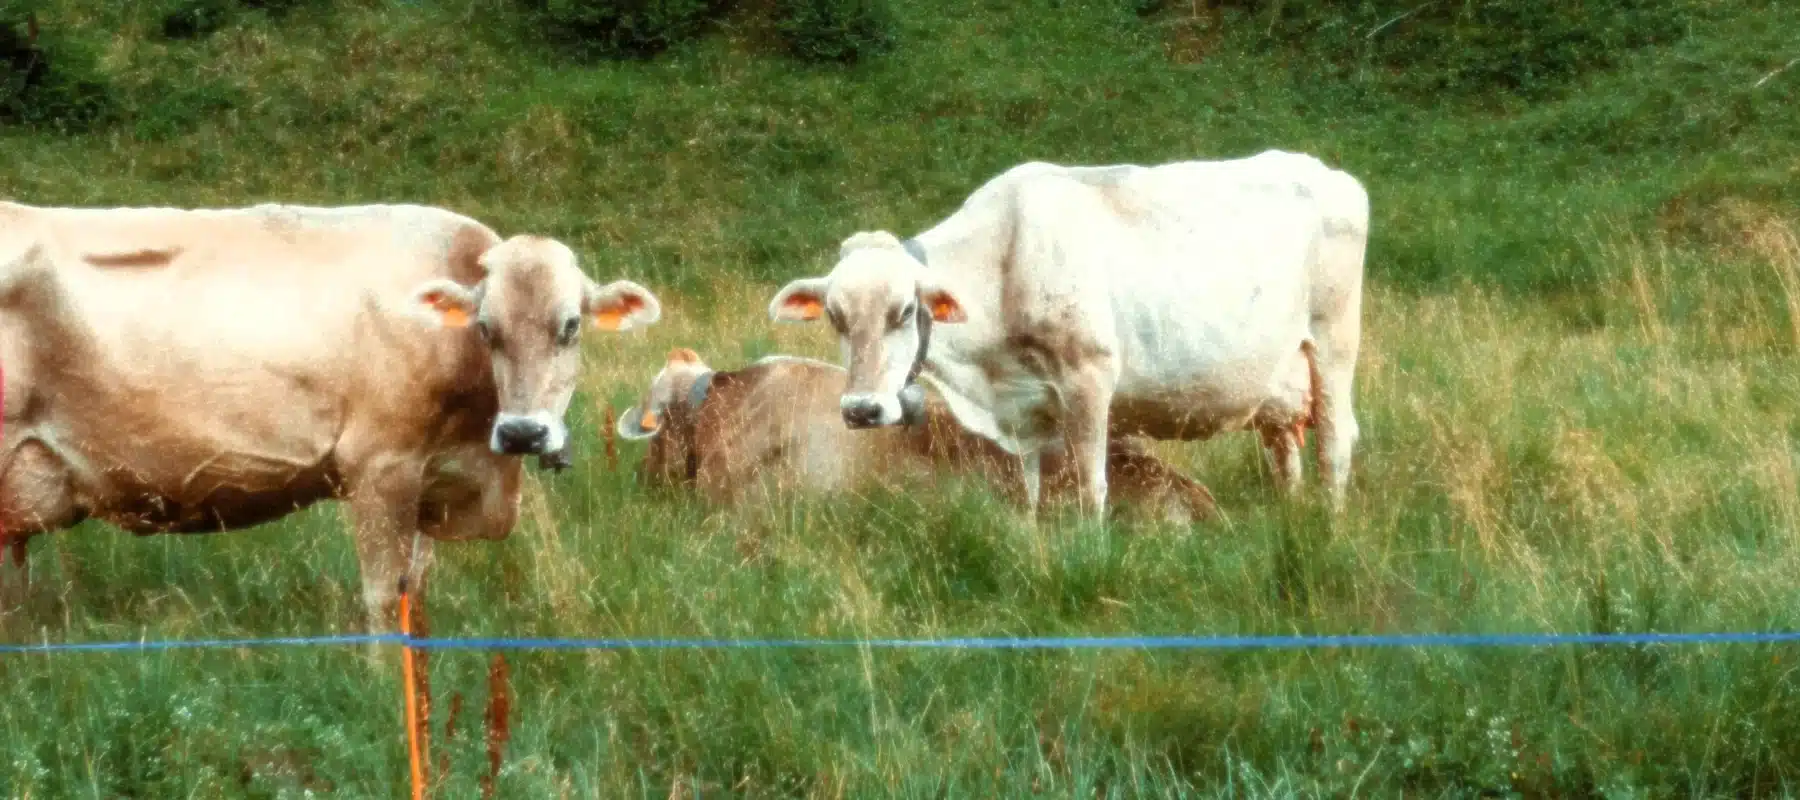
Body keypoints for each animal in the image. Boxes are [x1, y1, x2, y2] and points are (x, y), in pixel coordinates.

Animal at [0, 201, 661, 631]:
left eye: (569, 326)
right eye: (485, 328)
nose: (523, 432)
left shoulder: (432, 476)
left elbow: (416, 589)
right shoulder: (380, 465)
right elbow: (383, 594)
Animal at [765, 149, 1367, 518]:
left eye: (905, 310)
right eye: (836, 317)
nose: (863, 409)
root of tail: (1330, 174)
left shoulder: (1090, 376)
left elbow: (1090, 484)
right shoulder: (1024, 411)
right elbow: (1028, 490)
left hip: (1334, 342)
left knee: (1335, 445)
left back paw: (1328, 528)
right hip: (1278, 384)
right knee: (1285, 451)